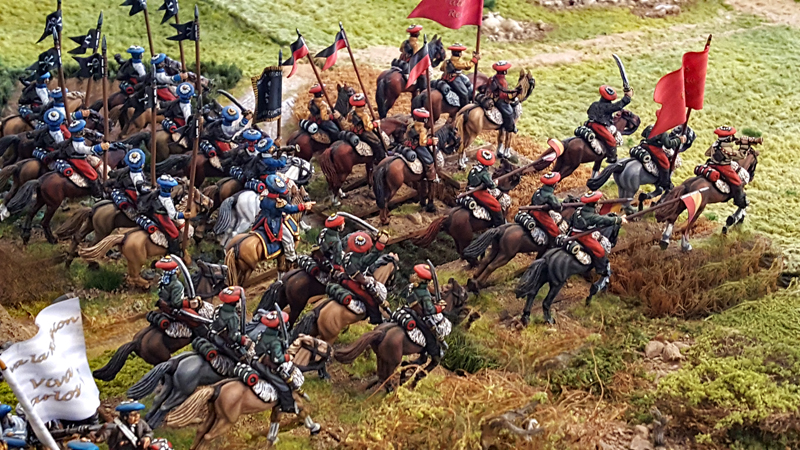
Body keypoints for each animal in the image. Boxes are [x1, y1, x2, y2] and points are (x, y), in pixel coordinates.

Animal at [76, 185, 213, 288]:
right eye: (201, 196)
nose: (211, 202)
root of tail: (123, 237)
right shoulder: (179, 247)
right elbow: (183, 257)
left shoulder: (169, 251)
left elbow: (180, 260)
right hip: (133, 256)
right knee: (133, 276)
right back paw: (146, 284)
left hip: (129, 258)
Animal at [333, 277, 469, 391]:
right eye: (462, 292)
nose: (467, 299)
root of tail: (381, 332)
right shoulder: (435, 356)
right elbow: (421, 373)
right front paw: (411, 385)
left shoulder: (422, 353)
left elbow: (410, 364)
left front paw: (403, 379)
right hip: (392, 362)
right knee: (386, 376)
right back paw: (390, 389)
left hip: (381, 357)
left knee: (381, 374)